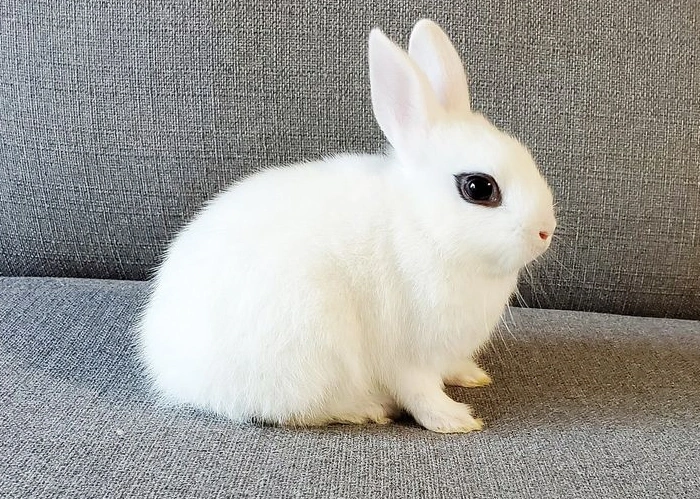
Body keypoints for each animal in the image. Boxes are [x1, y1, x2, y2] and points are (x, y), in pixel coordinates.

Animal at [138, 19, 556, 433]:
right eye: (479, 187)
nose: (546, 232)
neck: (423, 225)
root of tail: (171, 371)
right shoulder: (408, 356)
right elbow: (420, 393)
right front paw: (455, 420)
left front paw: (471, 376)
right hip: (311, 347)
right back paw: (368, 408)